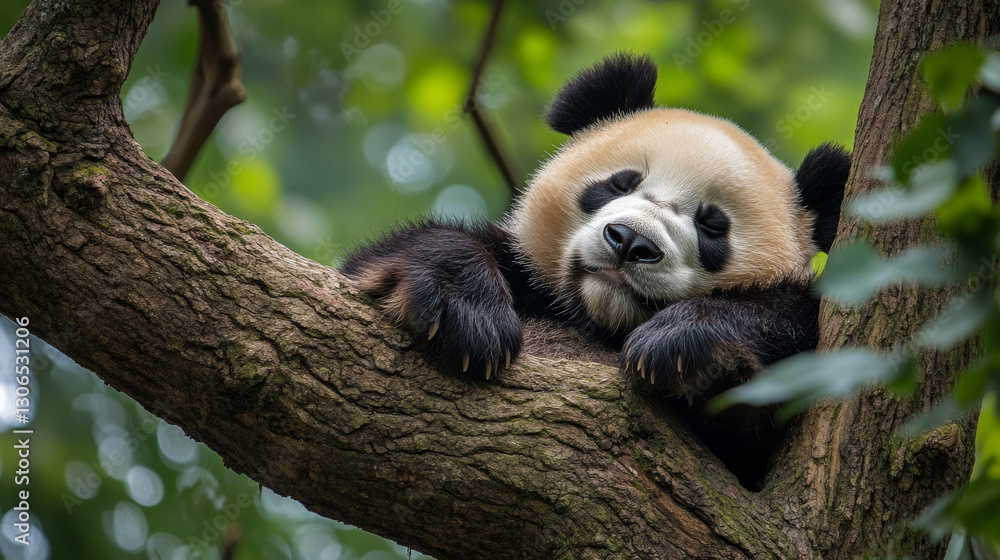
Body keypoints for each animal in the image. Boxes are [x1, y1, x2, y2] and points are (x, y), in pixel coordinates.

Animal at [343, 53, 850, 487]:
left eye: (712, 225)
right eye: (620, 183)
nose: (630, 241)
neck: (598, 319)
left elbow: (794, 329)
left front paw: (682, 343)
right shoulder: (524, 276)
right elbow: (399, 257)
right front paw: (466, 317)